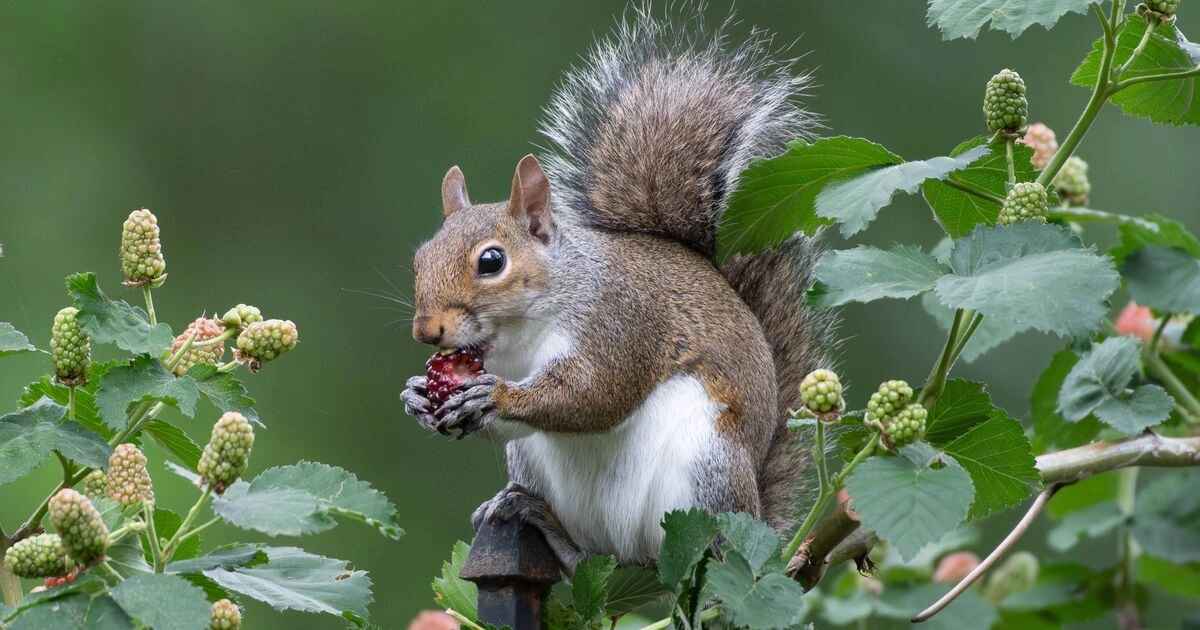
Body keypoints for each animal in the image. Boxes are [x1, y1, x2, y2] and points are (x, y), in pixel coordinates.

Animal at [402, 8, 834, 572]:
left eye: (491, 261)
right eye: (418, 260)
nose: (426, 332)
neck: (522, 336)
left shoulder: (622, 323)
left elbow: (594, 394)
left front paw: (495, 394)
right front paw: (416, 395)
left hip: (707, 469)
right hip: (543, 474)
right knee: (583, 561)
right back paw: (533, 515)